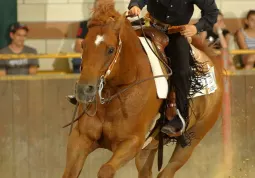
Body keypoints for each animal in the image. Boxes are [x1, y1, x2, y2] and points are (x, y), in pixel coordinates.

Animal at [61, 0, 223, 177]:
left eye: (110, 49)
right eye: (83, 45)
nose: (84, 90)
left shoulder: (132, 142)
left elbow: (105, 170)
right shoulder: (80, 137)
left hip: (192, 140)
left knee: (168, 171)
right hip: (148, 150)